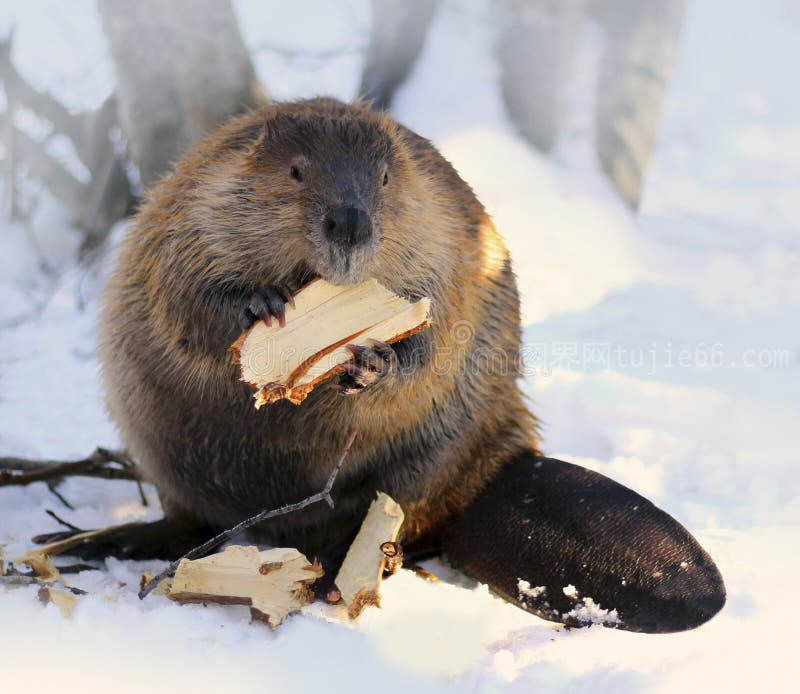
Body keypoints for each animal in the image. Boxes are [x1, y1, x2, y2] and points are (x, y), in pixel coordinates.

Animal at [47, 98, 728, 636]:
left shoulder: (444, 240)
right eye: (296, 171)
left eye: (381, 178)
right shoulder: (192, 211)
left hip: (432, 461)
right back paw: (102, 542)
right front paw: (261, 304)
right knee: (184, 522)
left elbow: (437, 340)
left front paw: (373, 362)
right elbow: (186, 297)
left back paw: (336, 575)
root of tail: (499, 471)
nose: (349, 223)